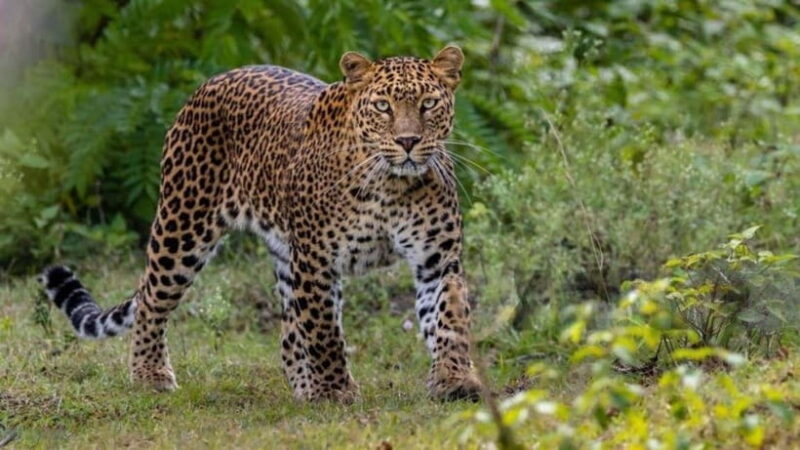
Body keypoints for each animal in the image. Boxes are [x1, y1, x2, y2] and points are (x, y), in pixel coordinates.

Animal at [39, 46, 481, 403]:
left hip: (283, 254)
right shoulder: (316, 260)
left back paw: (303, 387)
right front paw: (336, 391)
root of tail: (215, 79)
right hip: (183, 225)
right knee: (151, 300)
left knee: (288, 332)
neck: (391, 184)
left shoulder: (437, 260)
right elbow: (324, 333)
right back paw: (150, 375)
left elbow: (449, 318)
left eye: (428, 104)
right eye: (383, 106)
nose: (408, 141)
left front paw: (455, 379)